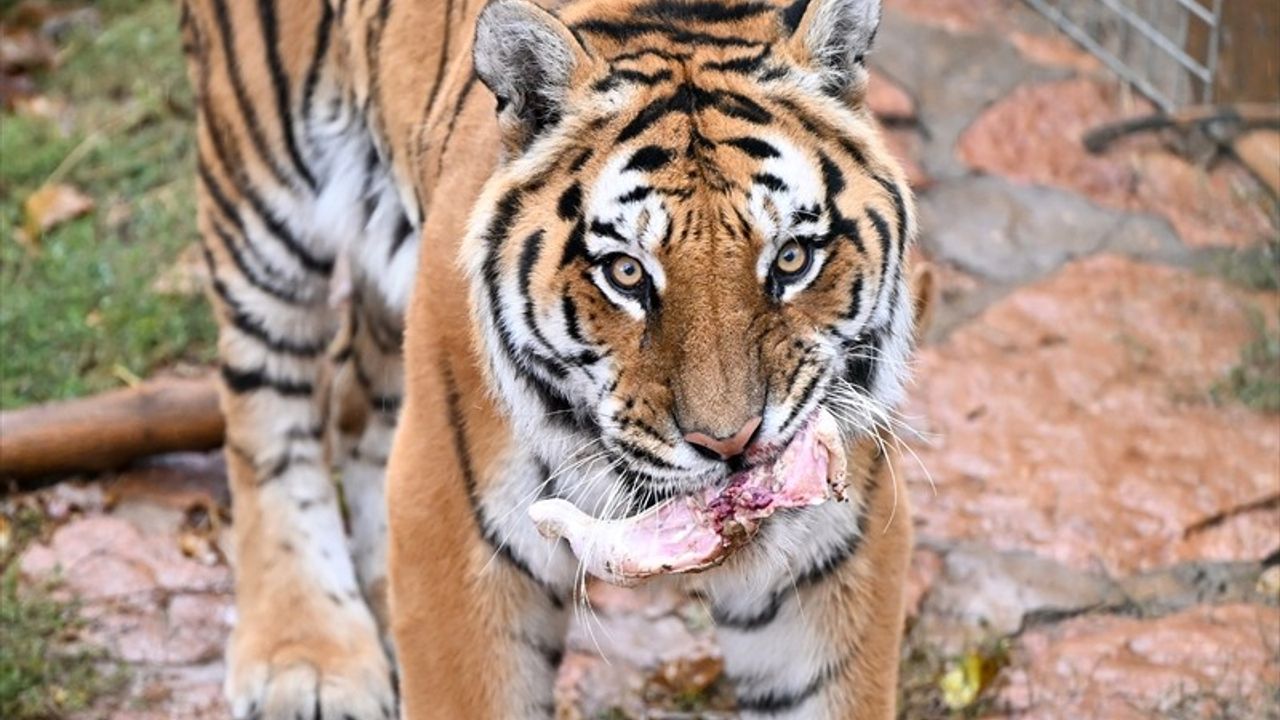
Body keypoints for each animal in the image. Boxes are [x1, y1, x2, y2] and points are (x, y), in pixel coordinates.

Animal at [177, 0, 931, 712]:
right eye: (626, 272)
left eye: (793, 258)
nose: (732, 445)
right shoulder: (452, 525)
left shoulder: (837, 552)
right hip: (261, 184)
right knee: (266, 409)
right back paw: (303, 656)